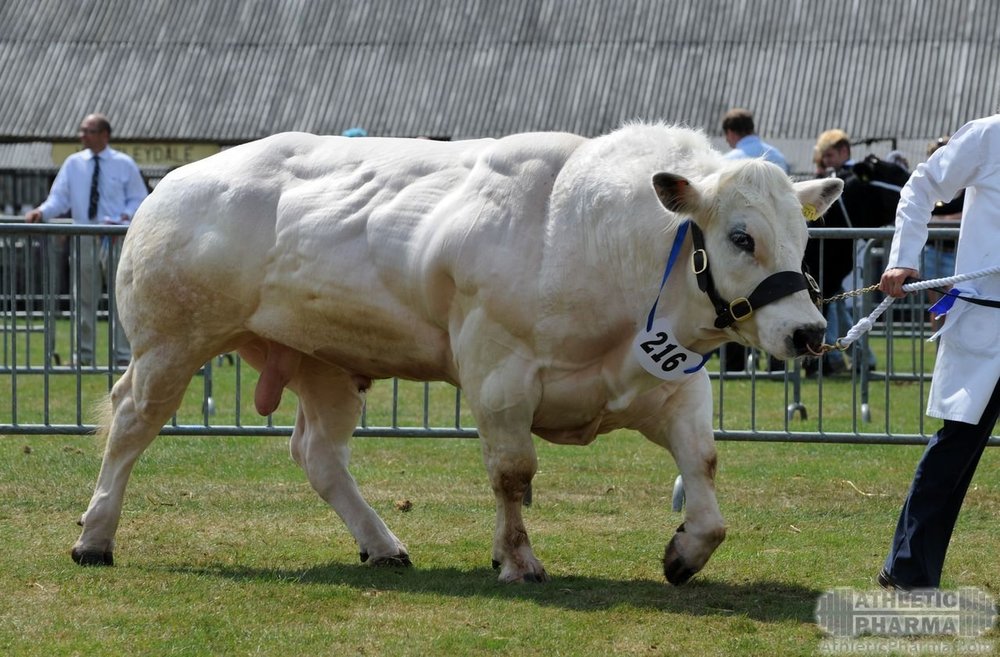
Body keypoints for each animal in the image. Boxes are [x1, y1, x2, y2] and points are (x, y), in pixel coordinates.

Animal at [70, 124, 840, 584]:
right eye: (740, 236)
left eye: (805, 236)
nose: (808, 333)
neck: (590, 238)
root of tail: (173, 184)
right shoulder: (498, 372)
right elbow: (512, 473)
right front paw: (517, 559)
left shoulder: (674, 383)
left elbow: (704, 473)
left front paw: (685, 552)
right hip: (170, 342)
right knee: (130, 426)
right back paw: (95, 535)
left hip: (323, 362)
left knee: (319, 455)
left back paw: (381, 543)